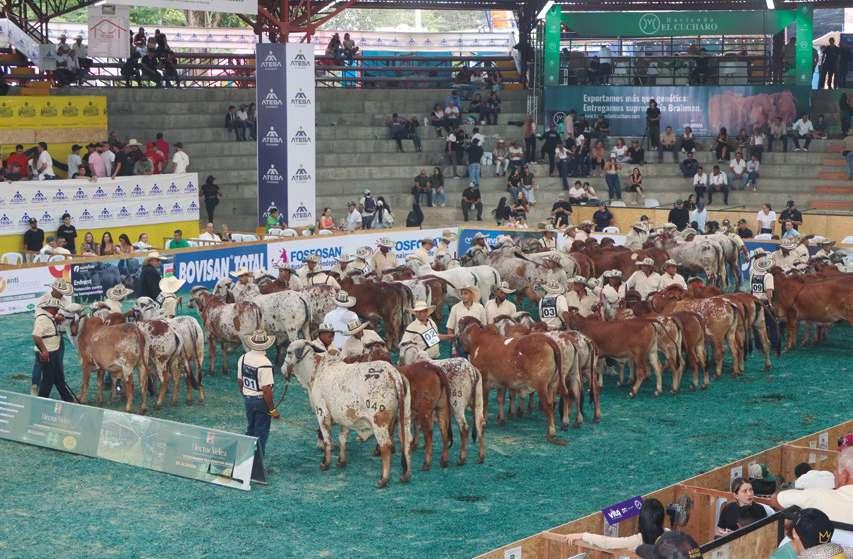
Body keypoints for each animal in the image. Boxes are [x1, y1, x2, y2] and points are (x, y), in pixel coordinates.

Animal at [282, 340, 413, 488]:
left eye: (289, 352)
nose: (282, 369)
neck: (316, 371)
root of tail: (393, 373)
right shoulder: (343, 416)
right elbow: (342, 438)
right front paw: (341, 461)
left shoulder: (322, 413)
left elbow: (327, 440)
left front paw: (325, 463)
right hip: (405, 417)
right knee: (406, 441)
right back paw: (406, 475)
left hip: (379, 422)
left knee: (385, 446)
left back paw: (383, 479)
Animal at [456, 316, 566, 445]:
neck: (478, 340)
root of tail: (546, 339)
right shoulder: (501, 382)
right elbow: (500, 399)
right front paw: (501, 419)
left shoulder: (483, 379)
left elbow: (484, 402)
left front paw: (483, 421)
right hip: (552, 384)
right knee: (552, 403)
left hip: (541, 385)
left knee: (548, 405)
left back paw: (551, 434)